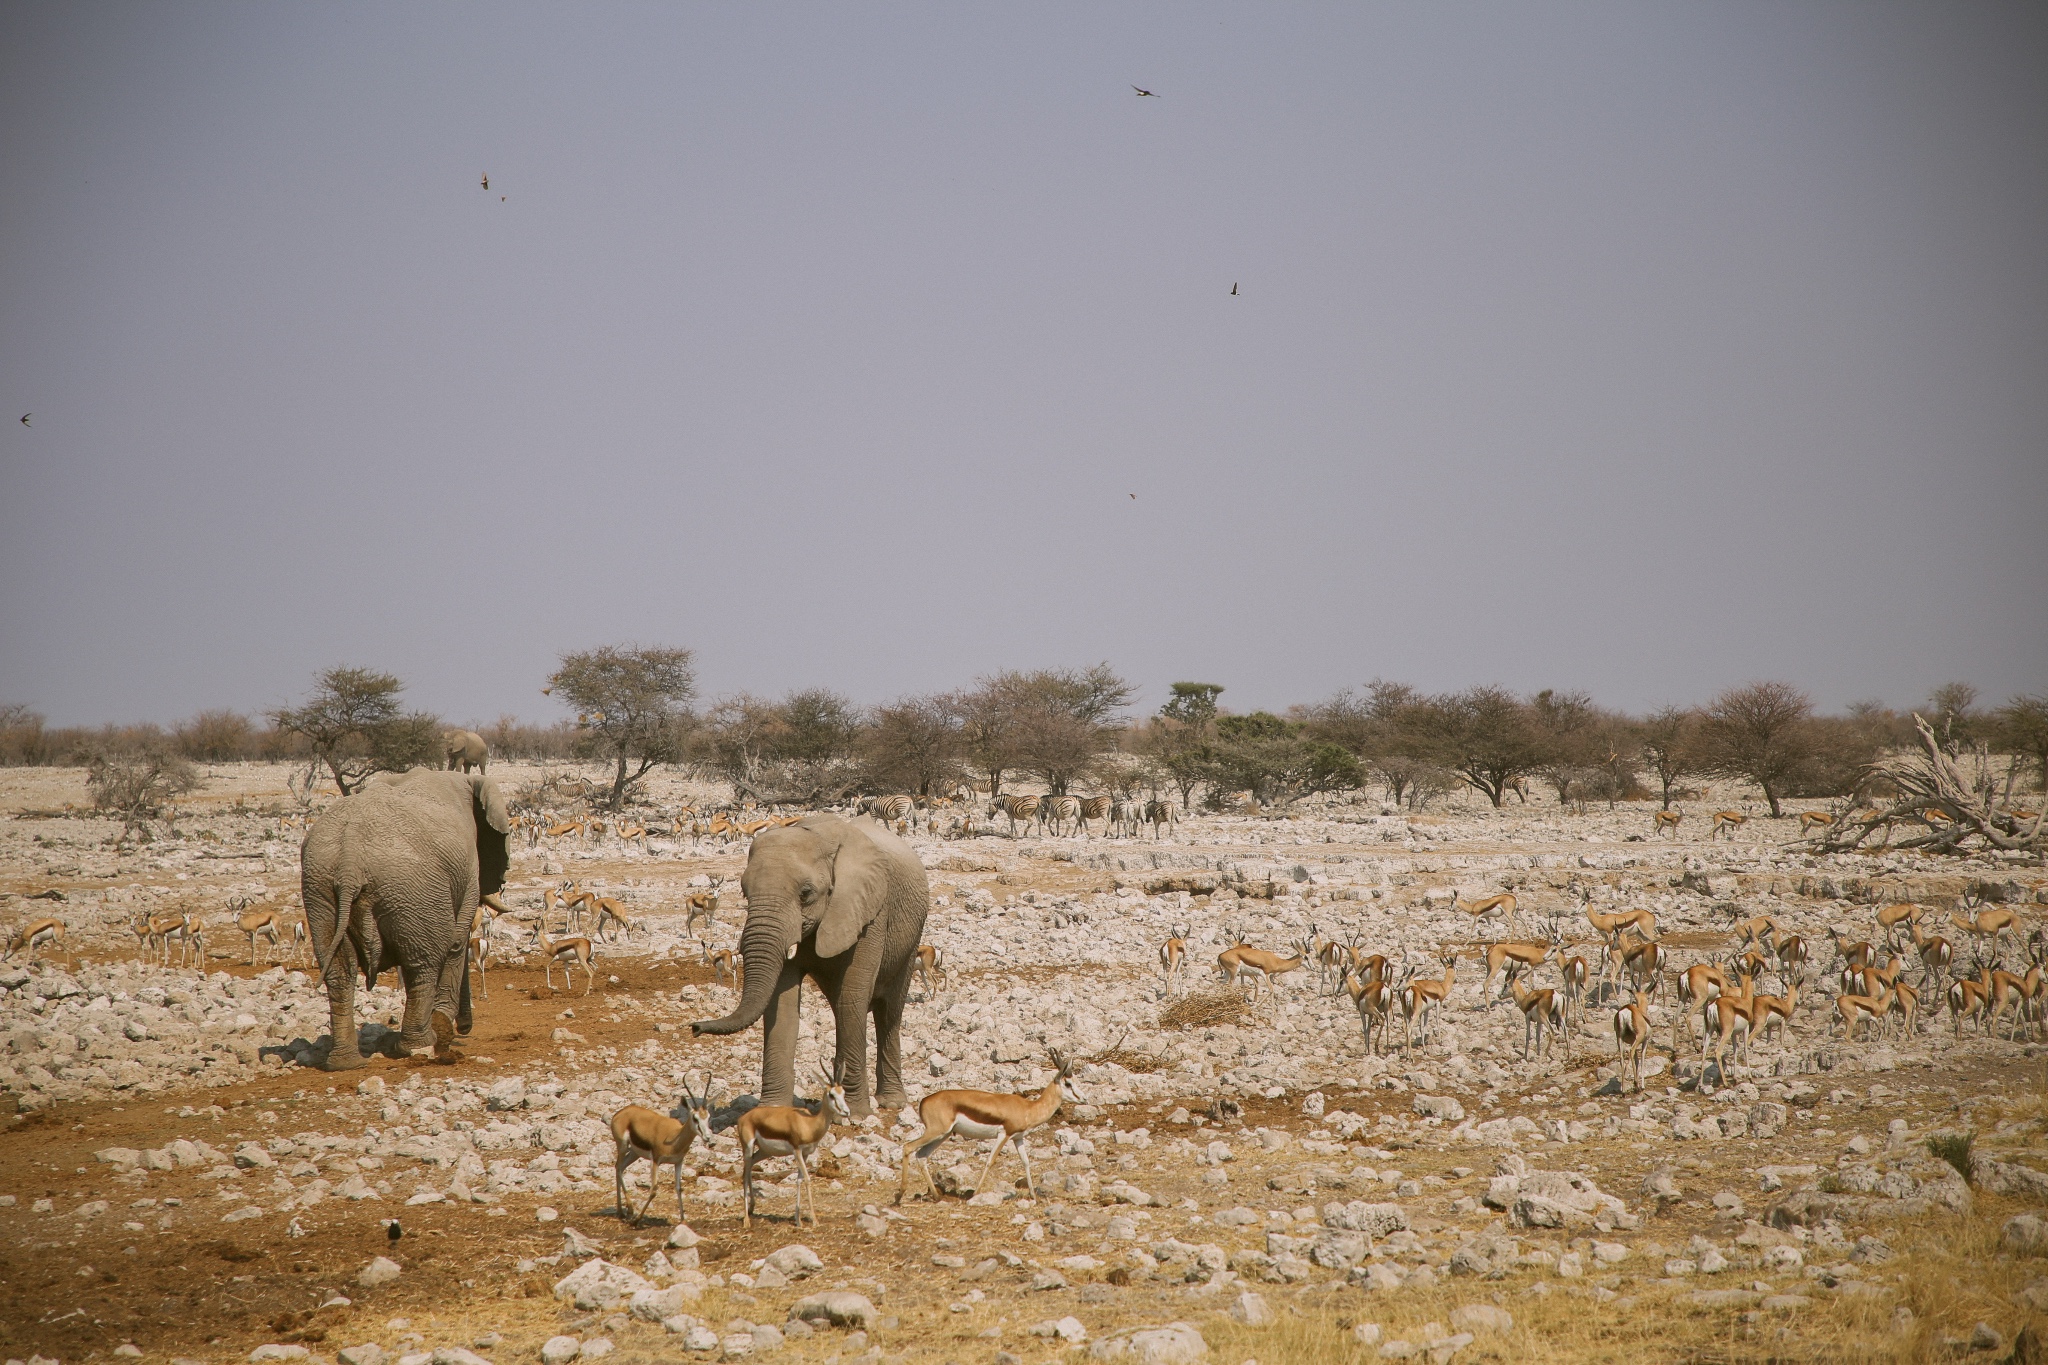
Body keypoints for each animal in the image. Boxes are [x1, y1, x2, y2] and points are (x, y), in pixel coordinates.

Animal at [299, 769, 507, 1064]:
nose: (465, 1028)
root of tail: (350, 858)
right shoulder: (469, 870)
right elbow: (456, 942)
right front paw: (444, 1029)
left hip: (320, 889)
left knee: (339, 970)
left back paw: (345, 1063)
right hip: (411, 887)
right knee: (423, 965)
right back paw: (421, 1045)